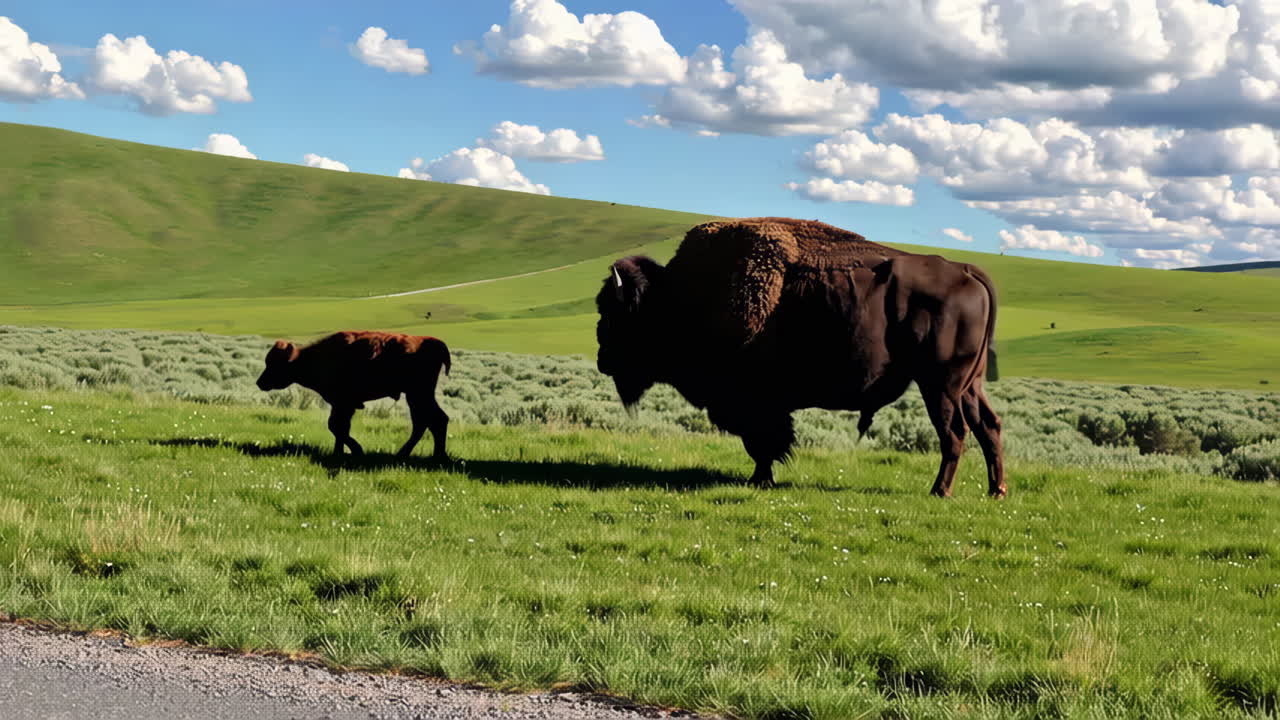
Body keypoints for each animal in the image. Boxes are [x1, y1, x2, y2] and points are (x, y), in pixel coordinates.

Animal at [256, 331, 452, 459]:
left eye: (275, 364)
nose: (260, 382)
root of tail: (437, 343)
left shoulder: (343, 403)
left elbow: (336, 426)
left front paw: (356, 450)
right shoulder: (342, 405)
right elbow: (340, 427)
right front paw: (339, 452)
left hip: (418, 395)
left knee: (432, 421)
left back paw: (427, 456)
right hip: (418, 396)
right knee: (430, 421)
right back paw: (426, 455)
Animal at [595, 217, 1006, 498]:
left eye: (612, 311)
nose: (601, 357)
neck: (675, 298)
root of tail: (966, 270)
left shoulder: (754, 403)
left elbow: (764, 443)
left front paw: (760, 480)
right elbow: (766, 444)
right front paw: (761, 479)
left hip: (940, 385)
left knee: (954, 432)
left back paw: (940, 491)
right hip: (968, 386)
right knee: (988, 426)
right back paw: (995, 491)